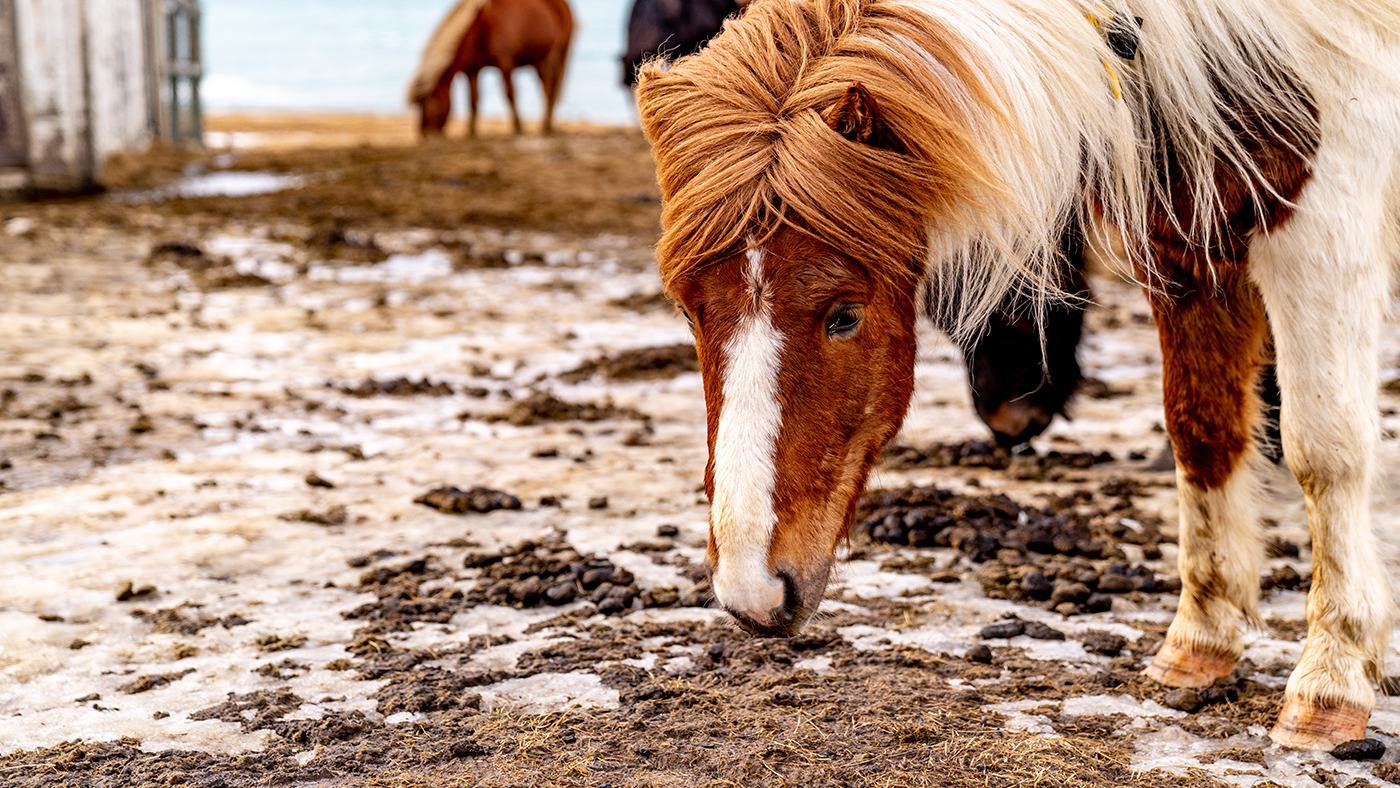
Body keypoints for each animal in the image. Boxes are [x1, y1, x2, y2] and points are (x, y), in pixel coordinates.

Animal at [408, 0, 574, 136]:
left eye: (432, 104)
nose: (425, 134)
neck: (482, 27)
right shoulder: (472, 70)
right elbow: (473, 100)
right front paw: (471, 132)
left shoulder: (505, 62)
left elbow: (510, 94)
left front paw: (518, 128)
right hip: (539, 61)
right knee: (548, 89)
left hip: (556, 57)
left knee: (550, 91)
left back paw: (547, 126)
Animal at [641, 0, 1400, 755]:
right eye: (687, 309)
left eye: (845, 314)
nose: (752, 592)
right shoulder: (1187, 242)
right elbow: (1202, 432)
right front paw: (1200, 643)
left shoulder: (1326, 229)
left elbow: (1324, 453)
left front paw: (1332, 677)